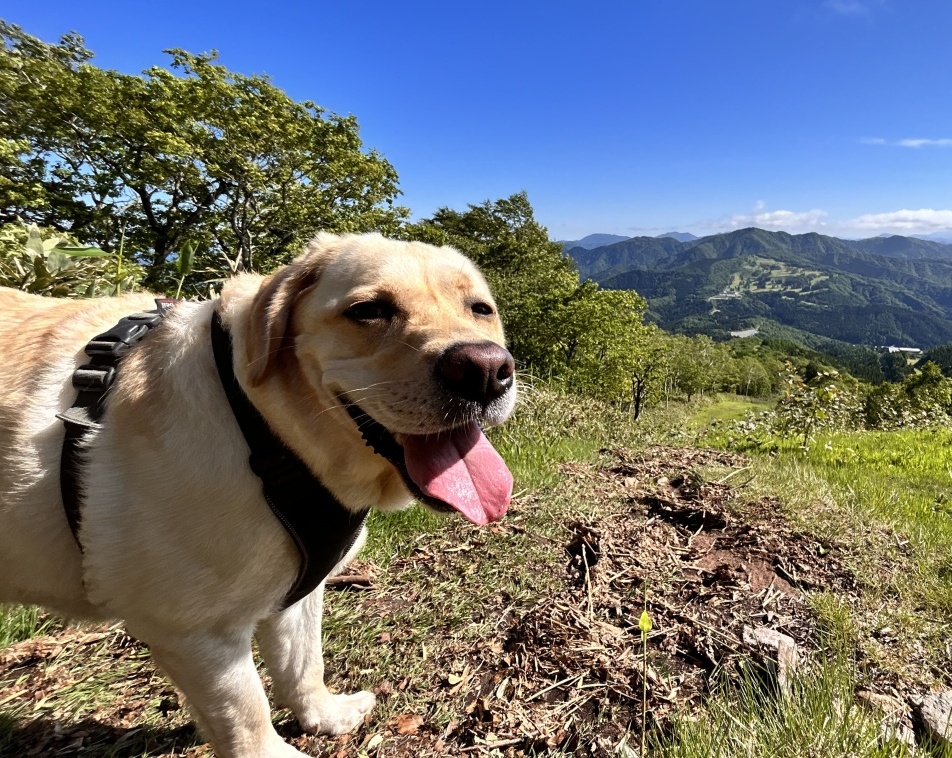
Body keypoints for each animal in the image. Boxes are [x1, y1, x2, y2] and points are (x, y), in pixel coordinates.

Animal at [0, 235, 516, 756]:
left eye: (480, 309)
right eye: (369, 310)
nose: (485, 369)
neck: (266, 432)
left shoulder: (299, 589)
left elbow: (302, 663)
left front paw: (324, 715)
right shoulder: (194, 630)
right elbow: (246, 711)